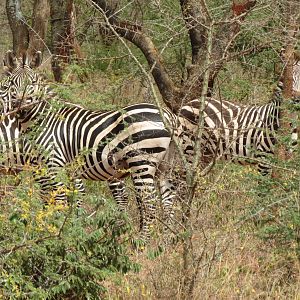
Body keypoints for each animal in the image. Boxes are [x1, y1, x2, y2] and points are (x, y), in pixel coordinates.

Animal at [1, 49, 176, 241]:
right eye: (12, 83)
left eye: (33, 83)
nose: (20, 104)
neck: (43, 120)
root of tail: (168, 115)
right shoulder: (50, 169)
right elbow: (59, 199)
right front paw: (60, 230)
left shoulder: (54, 165)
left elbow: (59, 199)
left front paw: (55, 234)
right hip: (164, 166)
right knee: (168, 201)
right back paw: (166, 241)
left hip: (142, 161)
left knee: (148, 203)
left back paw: (141, 242)